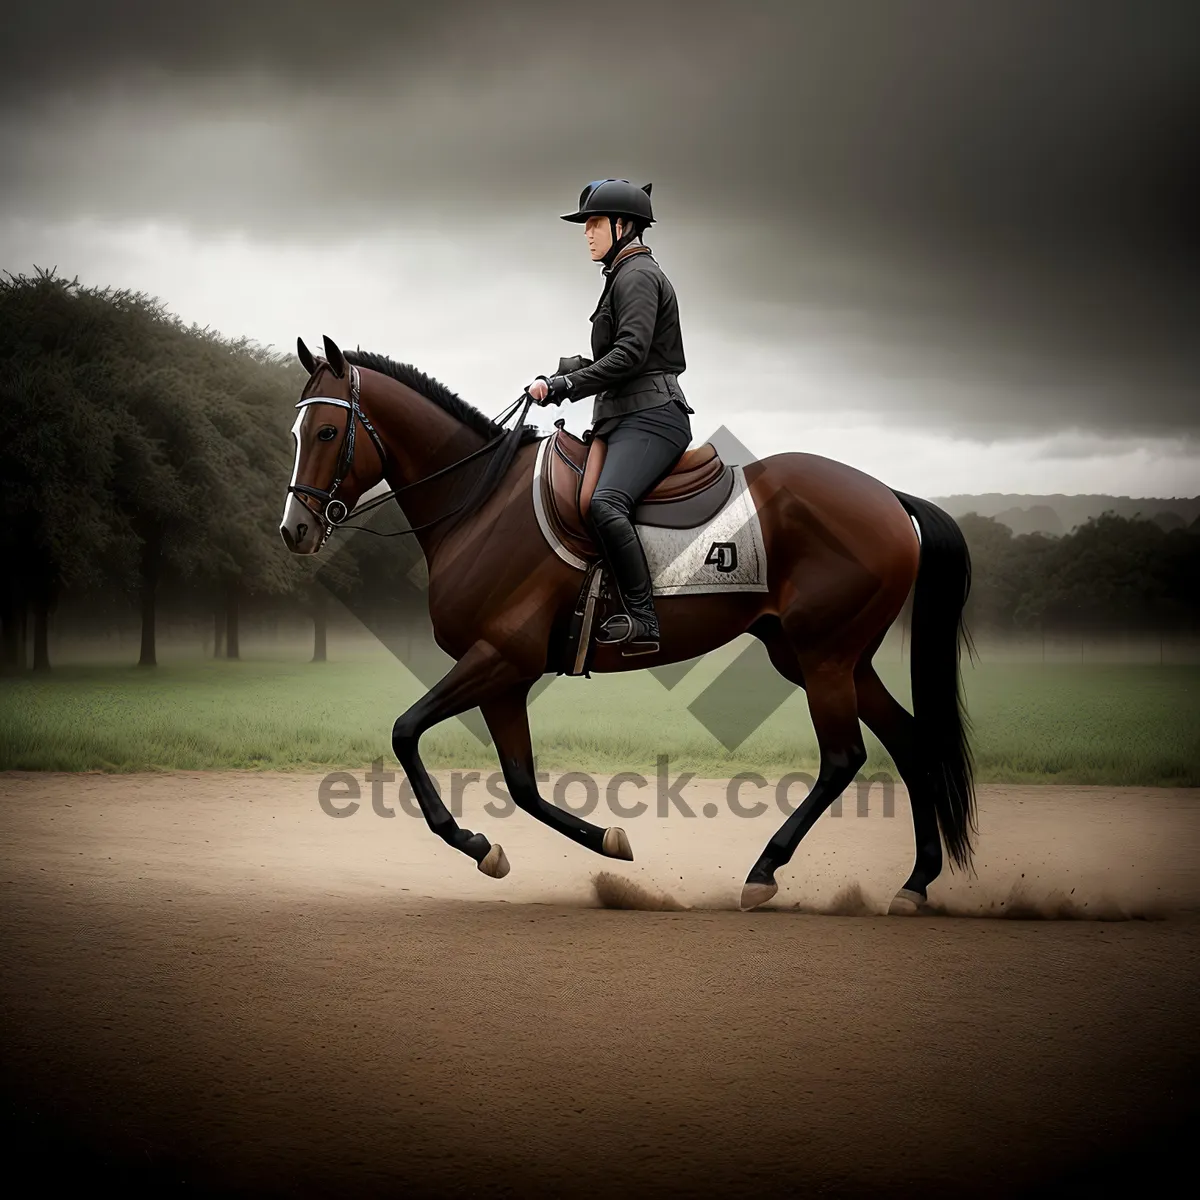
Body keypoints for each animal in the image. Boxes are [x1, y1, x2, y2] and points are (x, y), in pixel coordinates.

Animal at [280, 333, 974, 912]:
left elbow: (405, 733)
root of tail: (886, 496)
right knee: (909, 743)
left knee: (842, 758)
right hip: (827, 657)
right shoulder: (505, 677)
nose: (296, 530)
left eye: (326, 431)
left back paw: (765, 872)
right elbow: (521, 783)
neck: (480, 502)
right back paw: (915, 883)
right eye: (297, 431)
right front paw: (592, 842)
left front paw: (474, 842)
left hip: (824, 656)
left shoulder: (499, 657)